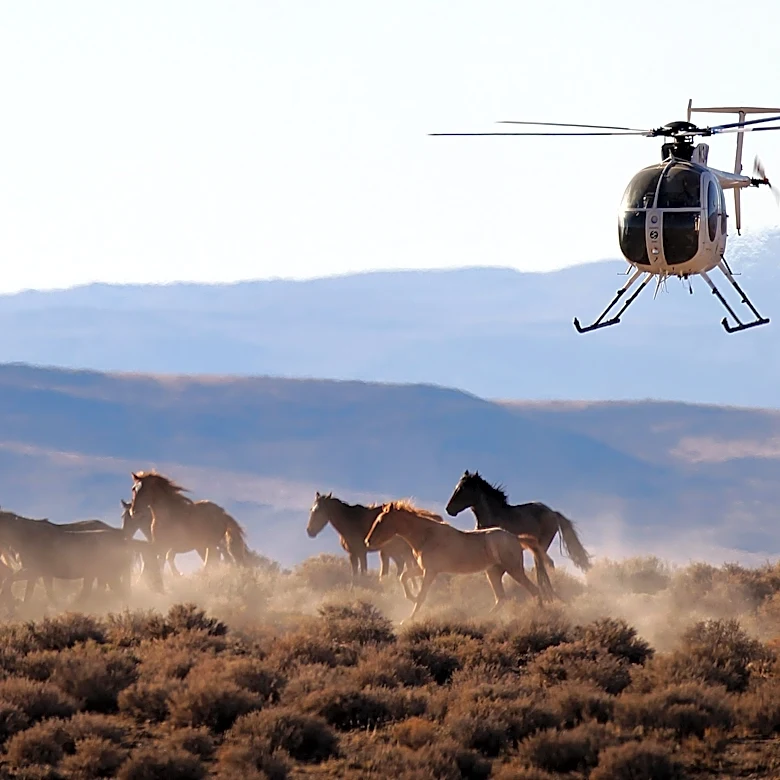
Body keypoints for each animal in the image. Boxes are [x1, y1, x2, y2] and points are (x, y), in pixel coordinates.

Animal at [365, 499, 557, 623]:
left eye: (380, 521)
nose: (368, 541)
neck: (426, 535)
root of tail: (515, 538)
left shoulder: (430, 572)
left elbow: (421, 596)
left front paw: (408, 618)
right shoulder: (424, 569)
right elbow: (404, 577)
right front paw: (410, 598)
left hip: (514, 570)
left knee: (534, 590)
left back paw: (541, 617)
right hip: (493, 572)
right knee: (501, 598)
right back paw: (482, 619)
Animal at [445, 470, 593, 572]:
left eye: (463, 488)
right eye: (456, 487)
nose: (449, 509)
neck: (492, 515)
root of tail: (553, 513)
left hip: (543, 543)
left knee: (546, 563)